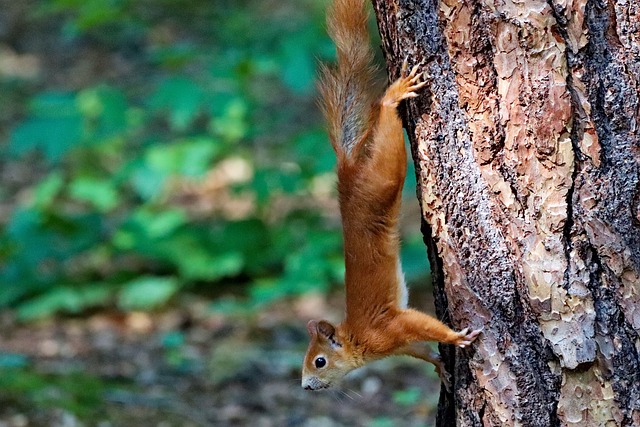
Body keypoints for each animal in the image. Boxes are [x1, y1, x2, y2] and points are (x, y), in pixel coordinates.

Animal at [302, 0, 480, 392]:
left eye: (319, 361)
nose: (304, 386)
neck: (356, 339)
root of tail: (348, 173)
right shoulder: (397, 344)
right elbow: (420, 348)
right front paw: (440, 366)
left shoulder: (388, 328)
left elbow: (422, 325)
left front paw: (455, 337)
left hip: (382, 177)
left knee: (386, 131)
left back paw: (393, 97)